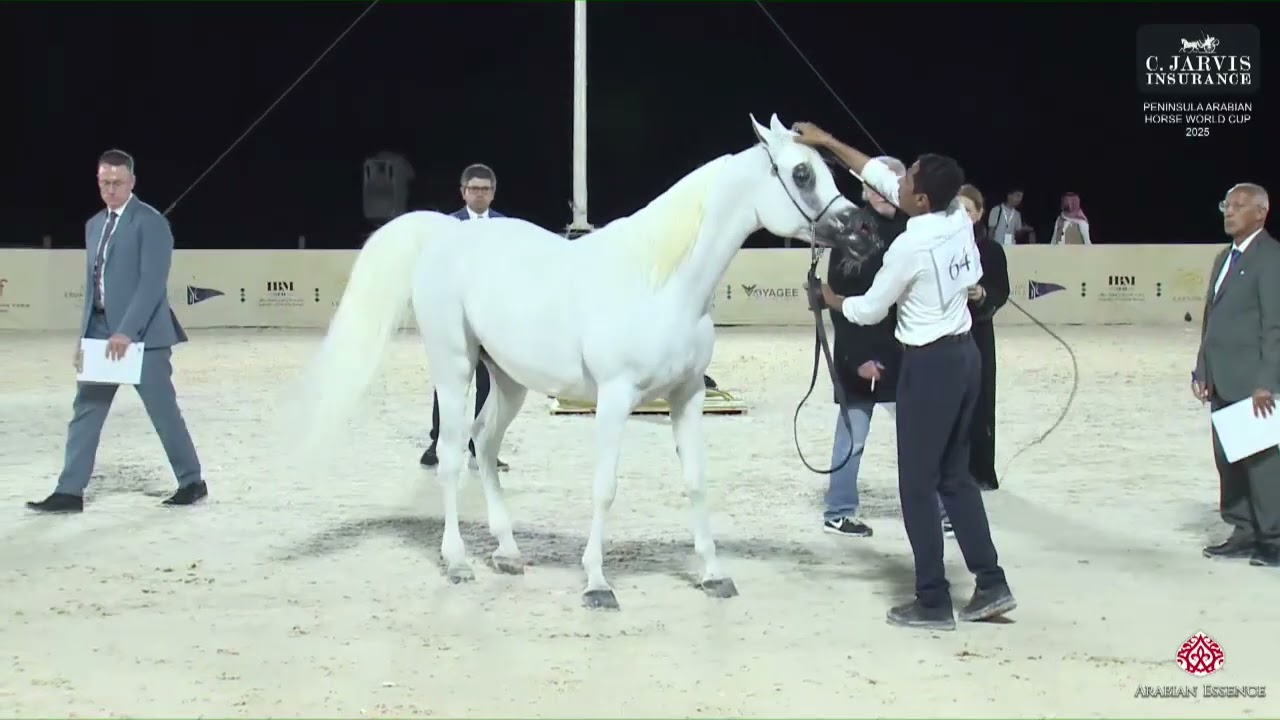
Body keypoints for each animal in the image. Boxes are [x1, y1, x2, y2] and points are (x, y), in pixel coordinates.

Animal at [285, 113, 881, 610]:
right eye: (801, 173)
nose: (864, 234)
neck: (660, 281)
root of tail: (446, 233)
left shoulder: (688, 395)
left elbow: (695, 481)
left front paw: (714, 574)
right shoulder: (615, 399)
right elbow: (605, 486)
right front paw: (596, 583)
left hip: (508, 380)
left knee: (485, 444)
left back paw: (507, 551)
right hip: (454, 367)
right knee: (453, 454)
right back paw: (457, 563)